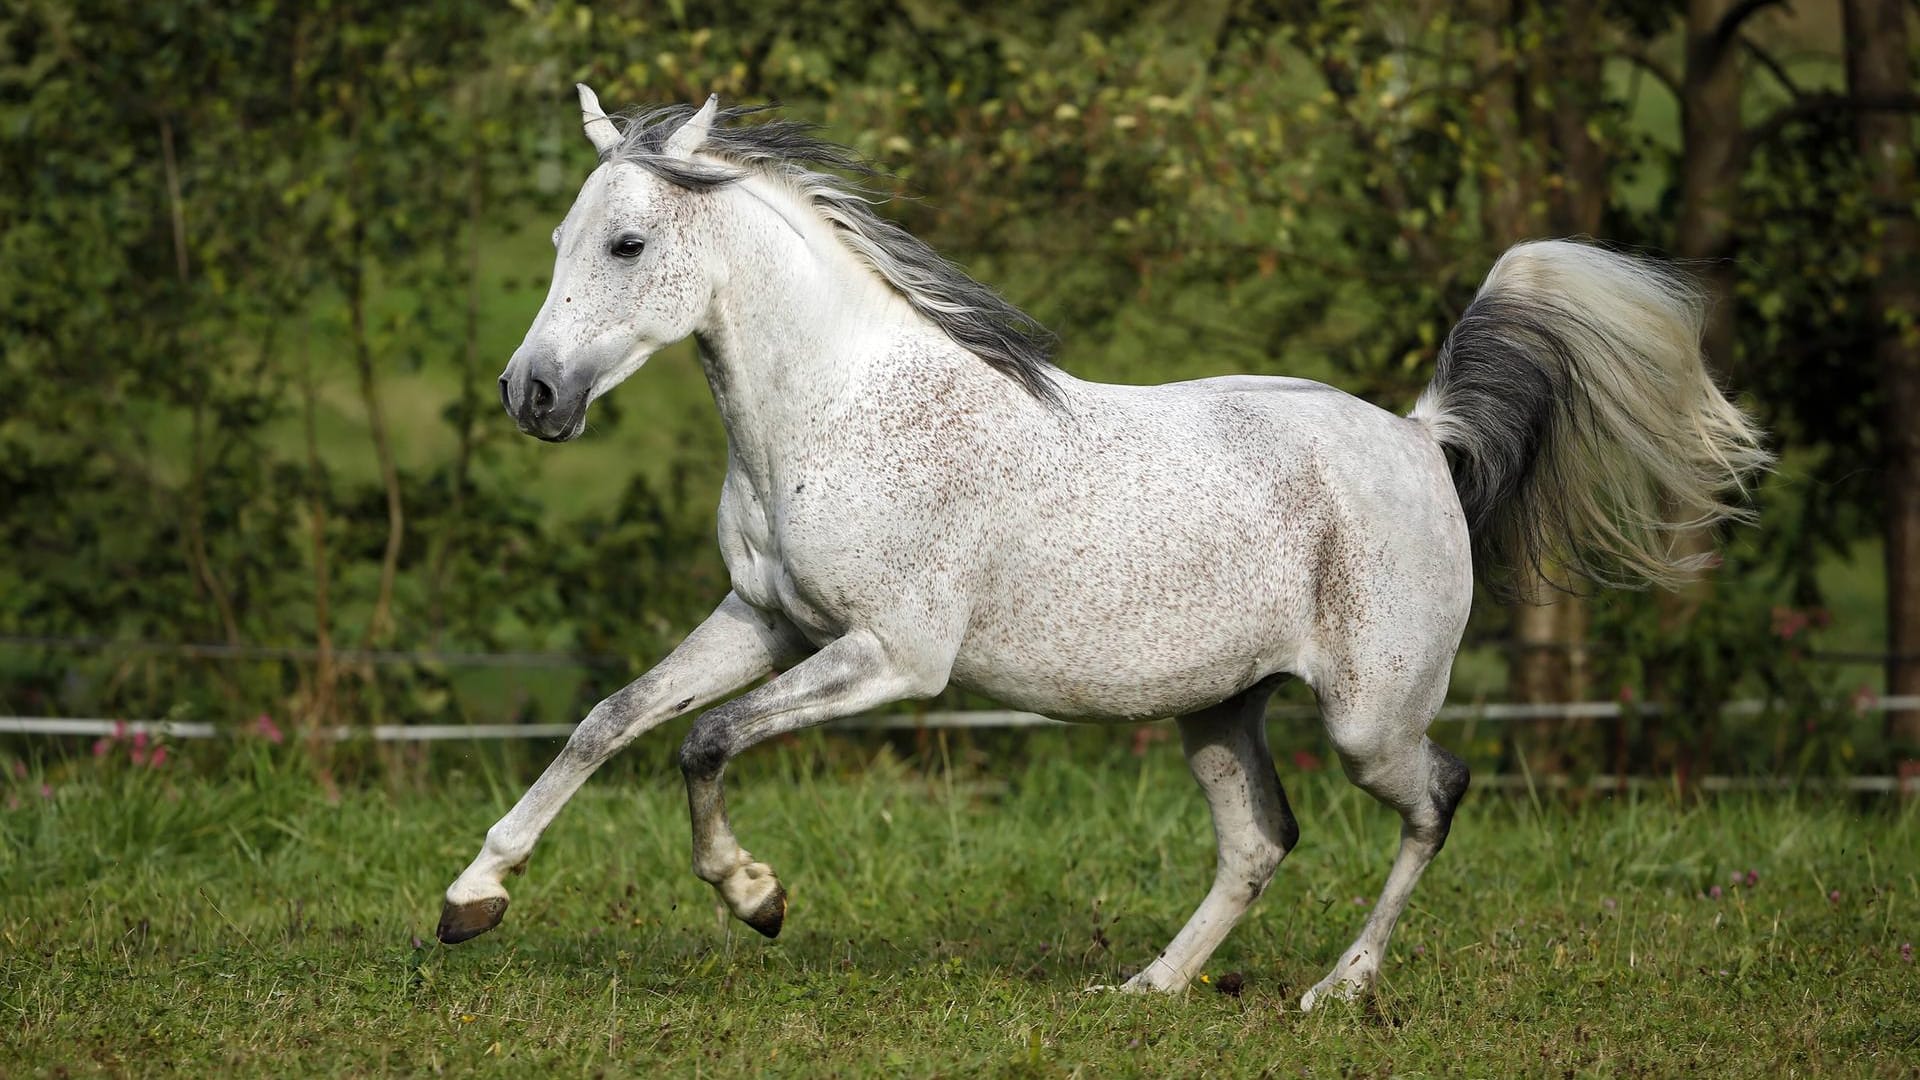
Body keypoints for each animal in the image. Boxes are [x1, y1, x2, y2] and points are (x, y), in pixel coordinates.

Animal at [439, 85, 1766, 1006]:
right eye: (557, 240)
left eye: (625, 246)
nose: (532, 395)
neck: (836, 406)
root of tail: (1421, 437)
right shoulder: (764, 619)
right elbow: (613, 720)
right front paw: (471, 898)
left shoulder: (892, 657)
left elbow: (704, 742)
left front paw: (756, 898)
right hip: (1218, 706)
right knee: (1259, 841)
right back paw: (1147, 989)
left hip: (1368, 719)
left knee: (1436, 797)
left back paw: (1339, 989)